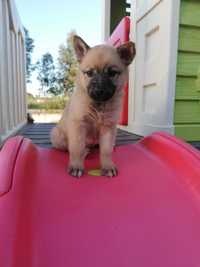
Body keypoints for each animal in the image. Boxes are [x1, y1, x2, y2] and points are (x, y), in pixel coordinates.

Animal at [50, 35, 136, 178]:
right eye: (89, 73)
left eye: (112, 73)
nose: (99, 90)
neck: (99, 106)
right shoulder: (79, 124)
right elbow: (77, 147)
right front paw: (76, 166)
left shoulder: (108, 127)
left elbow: (106, 150)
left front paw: (107, 166)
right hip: (58, 137)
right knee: (69, 147)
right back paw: (84, 151)